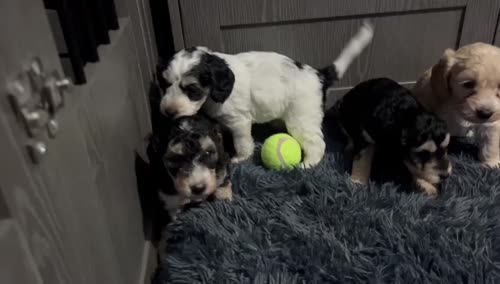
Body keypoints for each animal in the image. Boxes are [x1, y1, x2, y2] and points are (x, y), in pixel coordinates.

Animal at [160, 22, 376, 169]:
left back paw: (307, 164)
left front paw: (240, 158)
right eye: (165, 84)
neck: (214, 94)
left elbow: (242, 142)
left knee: (318, 144)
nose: (168, 112)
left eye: (191, 89)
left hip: (302, 119)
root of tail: (319, 74)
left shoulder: (239, 121)